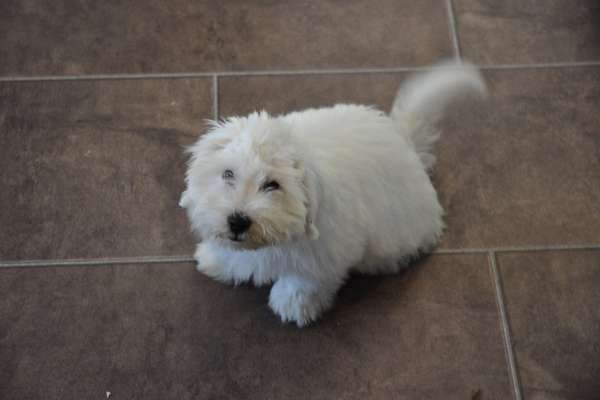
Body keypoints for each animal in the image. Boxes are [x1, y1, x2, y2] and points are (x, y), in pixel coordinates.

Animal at [180, 61, 486, 324]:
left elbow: (304, 279)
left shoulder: (327, 251)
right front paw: (216, 258)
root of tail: (405, 142)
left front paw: (293, 304)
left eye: (272, 185)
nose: (238, 221)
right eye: (227, 174)